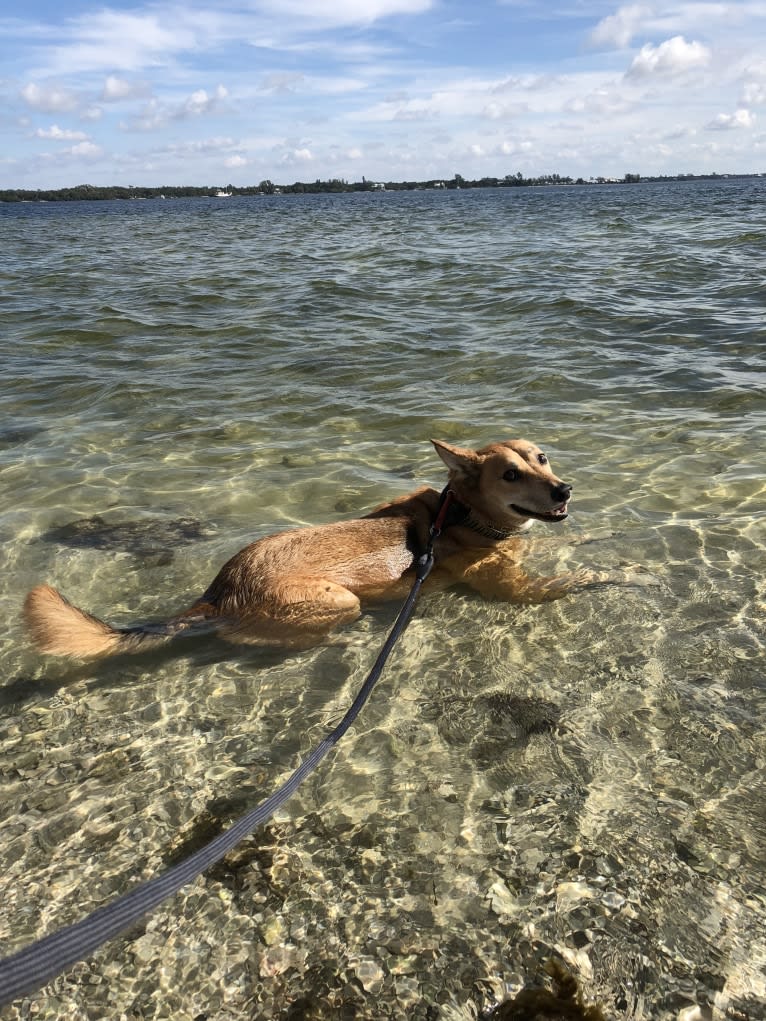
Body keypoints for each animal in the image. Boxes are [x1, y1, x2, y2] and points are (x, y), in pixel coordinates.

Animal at [24, 439, 649, 661]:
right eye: (511, 475)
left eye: (542, 458)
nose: (565, 490)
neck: (464, 515)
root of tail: (218, 593)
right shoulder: (523, 592)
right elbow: (585, 575)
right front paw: (633, 573)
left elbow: (579, 543)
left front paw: (612, 536)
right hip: (338, 601)